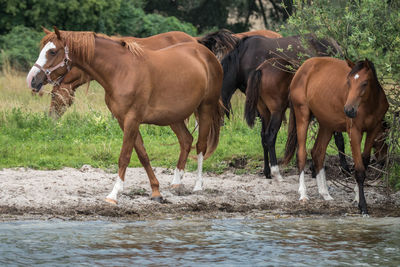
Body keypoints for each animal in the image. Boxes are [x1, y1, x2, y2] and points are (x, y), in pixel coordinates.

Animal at [282, 57, 390, 215]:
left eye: (364, 83)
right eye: (348, 82)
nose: (349, 110)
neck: (369, 104)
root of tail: (303, 67)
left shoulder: (372, 130)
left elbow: (364, 162)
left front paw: (357, 197)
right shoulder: (354, 132)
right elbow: (359, 170)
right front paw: (362, 206)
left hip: (327, 125)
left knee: (318, 153)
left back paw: (325, 194)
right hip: (302, 115)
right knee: (301, 154)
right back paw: (303, 194)